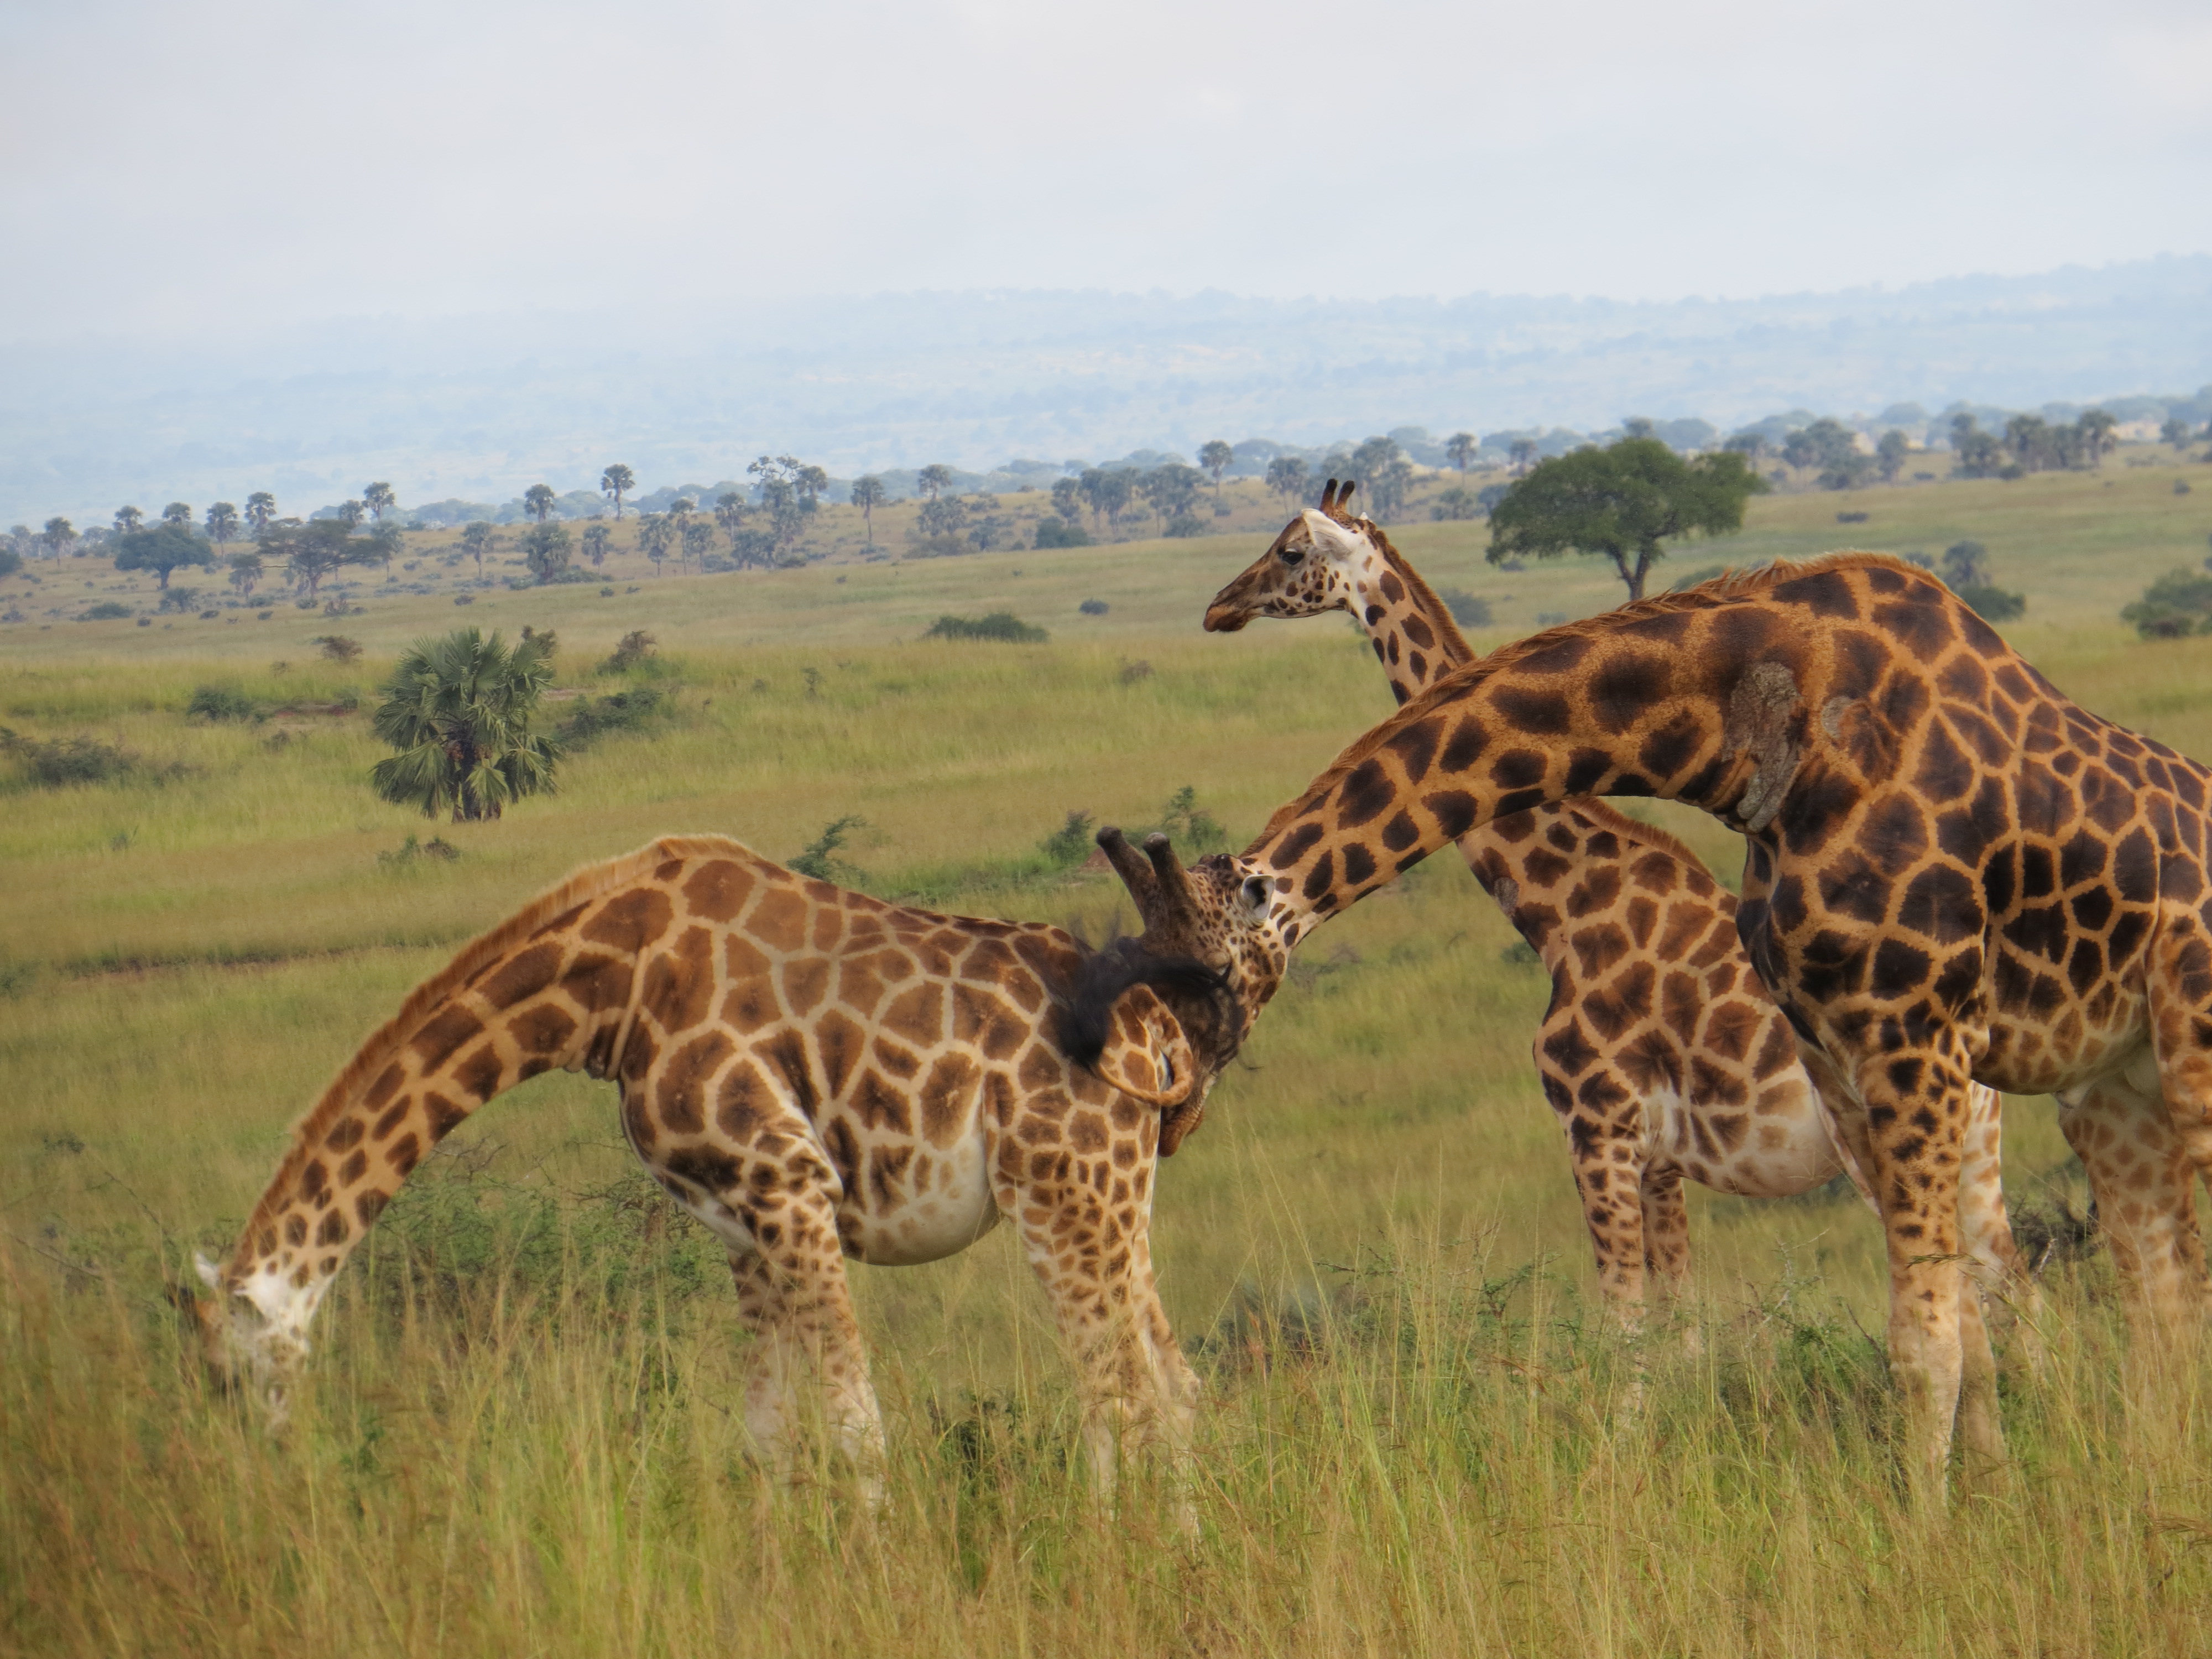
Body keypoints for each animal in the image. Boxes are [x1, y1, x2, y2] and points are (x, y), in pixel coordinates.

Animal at [186, 836, 1265, 1504]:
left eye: (231, 1379)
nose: (264, 1484)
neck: (610, 988)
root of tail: (1159, 1036)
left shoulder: (791, 1184)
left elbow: (857, 1426)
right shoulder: (739, 1221)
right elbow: (769, 1435)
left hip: (1058, 1195)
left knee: (1117, 1391)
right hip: (1116, 1197)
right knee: (1171, 1384)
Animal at [1203, 487, 2026, 1336]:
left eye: (1290, 551)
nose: (1219, 607)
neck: (1560, 908)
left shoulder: (1598, 1130)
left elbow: (1624, 1324)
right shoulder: (1659, 1161)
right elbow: (1679, 1325)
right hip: (1974, 1141)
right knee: (2007, 1278)